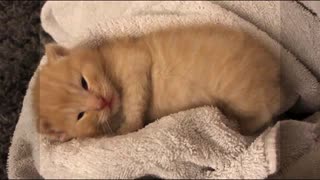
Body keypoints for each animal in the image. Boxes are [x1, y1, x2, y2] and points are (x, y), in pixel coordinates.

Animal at [31, 24, 284, 142]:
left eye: (83, 82)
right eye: (80, 115)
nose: (102, 102)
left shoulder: (137, 59)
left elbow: (135, 100)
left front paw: (128, 129)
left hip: (244, 95)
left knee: (264, 112)